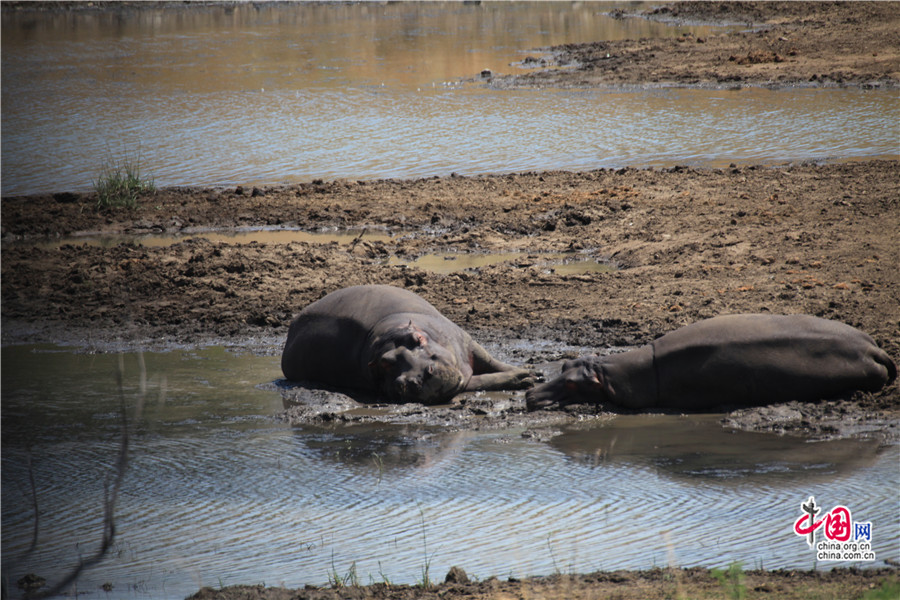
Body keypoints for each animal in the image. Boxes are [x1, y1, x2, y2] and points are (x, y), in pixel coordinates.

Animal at [282, 284, 536, 404]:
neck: (383, 339)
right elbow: (481, 380)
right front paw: (526, 378)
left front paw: (530, 373)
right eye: (384, 363)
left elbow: (493, 362)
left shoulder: (467, 342)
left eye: (417, 339)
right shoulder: (461, 377)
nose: (413, 380)